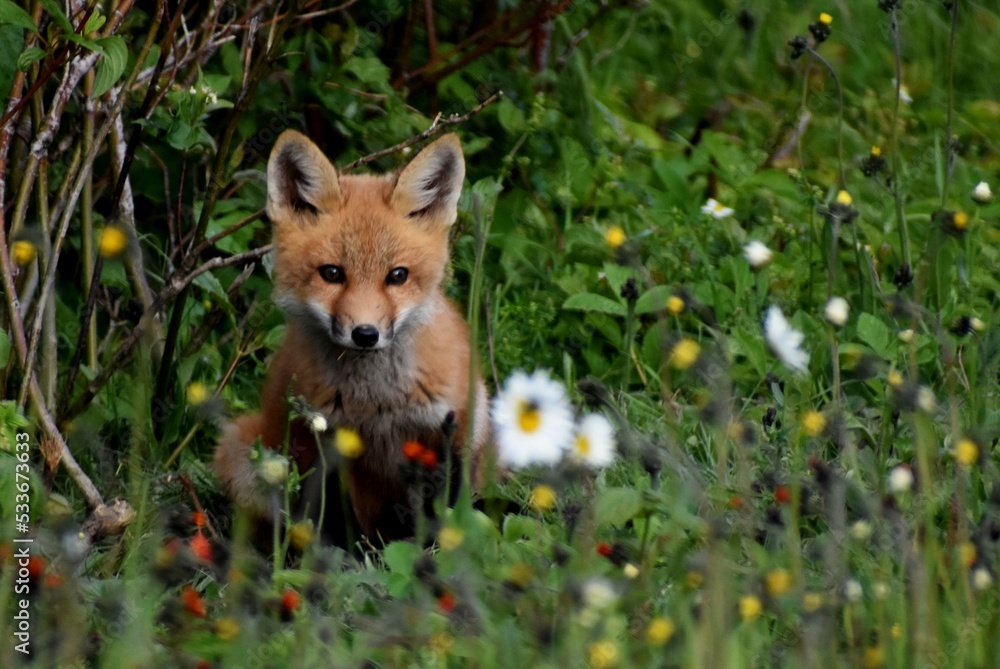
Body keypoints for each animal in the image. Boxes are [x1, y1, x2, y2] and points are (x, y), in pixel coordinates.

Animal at [213, 130, 489, 543]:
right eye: (332, 273)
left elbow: (444, 517)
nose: (365, 334)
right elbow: (335, 526)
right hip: (247, 452)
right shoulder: (322, 440)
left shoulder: (446, 431)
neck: (376, 404)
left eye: (397, 276)